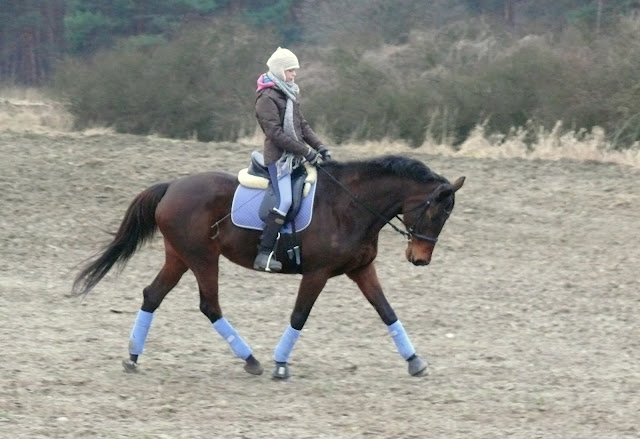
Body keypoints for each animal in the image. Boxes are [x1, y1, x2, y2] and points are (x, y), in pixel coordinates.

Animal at [73, 154, 465, 379]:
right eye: (436, 212)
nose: (420, 258)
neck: (350, 205)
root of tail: (172, 187)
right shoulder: (317, 273)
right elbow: (299, 316)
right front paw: (281, 364)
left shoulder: (362, 269)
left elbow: (387, 312)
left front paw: (414, 360)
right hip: (202, 259)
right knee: (209, 305)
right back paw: (251, 360)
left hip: (180, 258)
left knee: (152, 296)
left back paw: (133, 357)